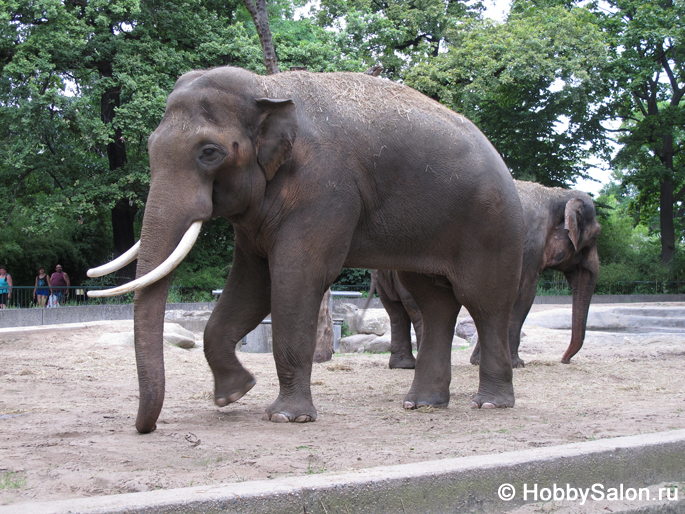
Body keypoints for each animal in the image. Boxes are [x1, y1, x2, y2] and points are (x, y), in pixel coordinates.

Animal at [88, 66, 520, 430]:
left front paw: (285, 417)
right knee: (434, 302)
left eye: (209, 152)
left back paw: (490, 404)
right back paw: (422, 404)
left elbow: (295, 278)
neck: (266, 88)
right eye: (149, 146)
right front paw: (234, 393)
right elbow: (252, 285)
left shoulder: (322, 188)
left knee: (485, 302)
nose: (146, 428)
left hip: (490, 225)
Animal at [372, 179, 600, 368]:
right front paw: (516, 365)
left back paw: (404, 366)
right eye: (596, 235)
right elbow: (523, 296)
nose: (564, 360)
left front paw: (479, 362)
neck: (556, 193)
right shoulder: (528, 247)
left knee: (396, 311)